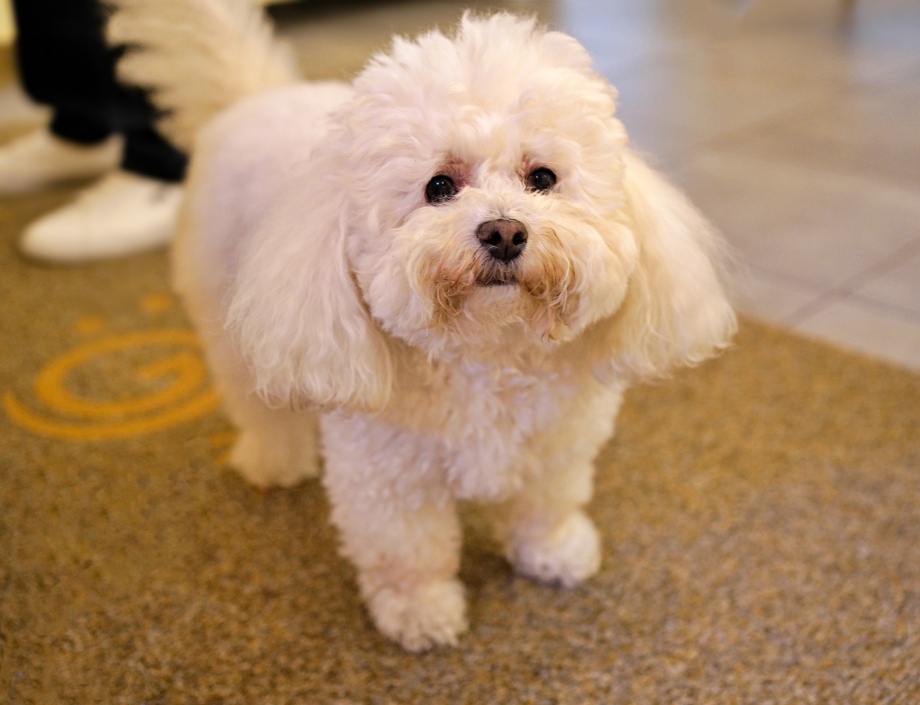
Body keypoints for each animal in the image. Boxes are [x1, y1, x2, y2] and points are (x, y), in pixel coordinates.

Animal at [109, 1, 736, 651]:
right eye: (439, 187)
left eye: (542, 178)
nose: (504, 231)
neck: (489, 353)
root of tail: (258, 96)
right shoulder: (390, 474)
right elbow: (410, 550)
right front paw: (419, 612)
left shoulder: (555, 441)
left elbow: (546, 503)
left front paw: (554, 551)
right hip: (227, 310)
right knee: (256, 401)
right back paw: (274, 459)